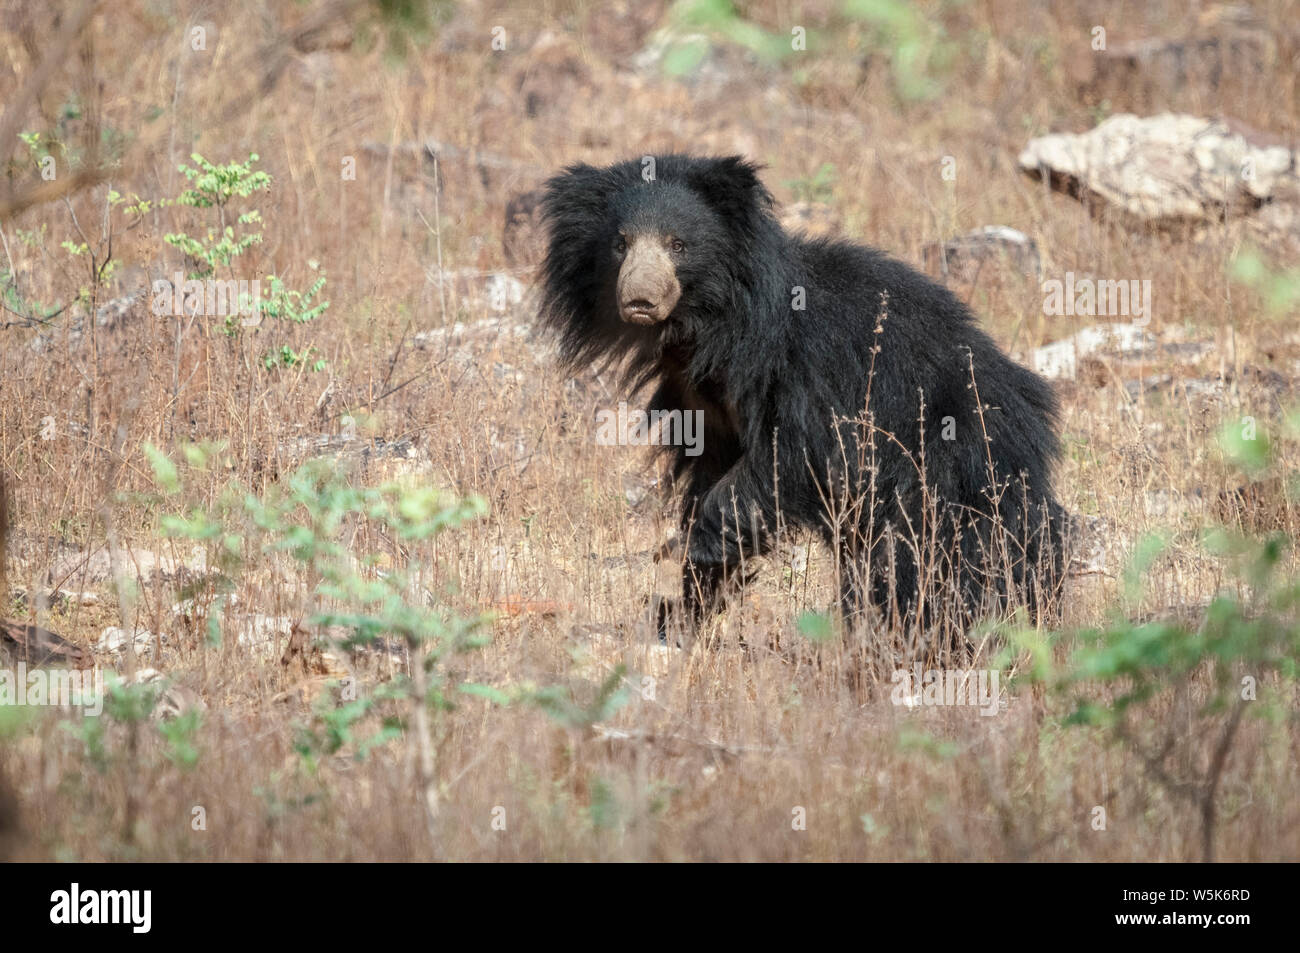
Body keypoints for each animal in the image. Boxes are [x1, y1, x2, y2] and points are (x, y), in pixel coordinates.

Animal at [538, 156, 1066, 639]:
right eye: (620, 244)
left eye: (678, 244)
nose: (641, 300)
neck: (713, 325)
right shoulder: (701, 398)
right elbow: (711, 466)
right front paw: (685, 603)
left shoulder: (810, 373)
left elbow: (787, 457)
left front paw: (688, 551)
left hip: (948, 462)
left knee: (934, 554)